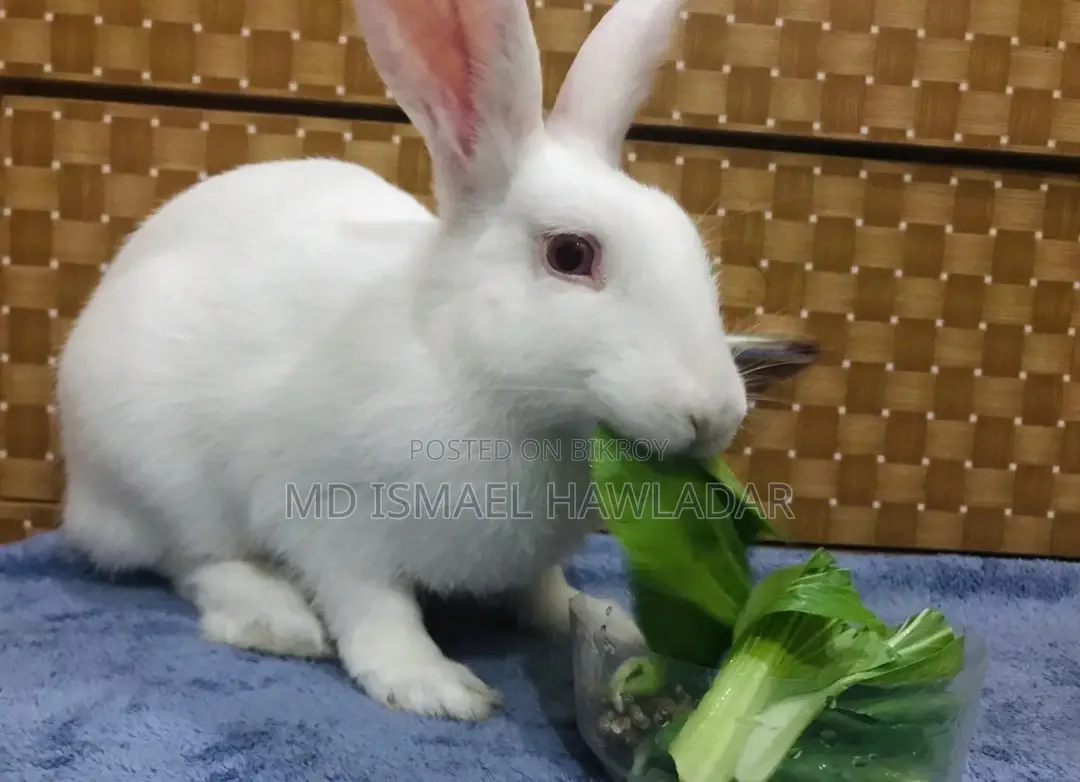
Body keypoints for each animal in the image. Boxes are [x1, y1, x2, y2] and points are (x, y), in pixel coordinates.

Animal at [54, 0, 750, 721]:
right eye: (570, 254)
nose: (716, 415)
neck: (480, 383)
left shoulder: (529, 558)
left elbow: (542, 588)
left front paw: (592, 618)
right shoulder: (330, 520)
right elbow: (375, 608)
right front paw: (434, 686)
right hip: (157, 477)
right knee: (192, 562)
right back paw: (278, 620)